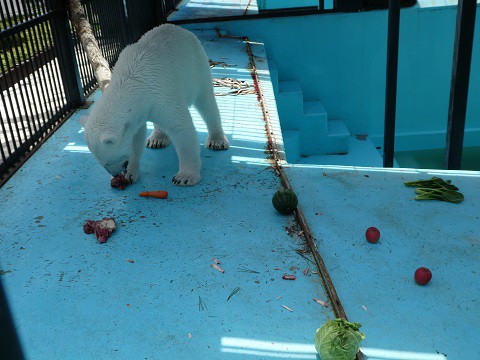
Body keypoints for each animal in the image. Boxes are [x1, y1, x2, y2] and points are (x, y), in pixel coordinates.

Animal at [80, 23, 229, 186]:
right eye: (102, 164)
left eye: (107, 162)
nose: (115, 173)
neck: (131, 81)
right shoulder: (140, 110)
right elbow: (136, 137)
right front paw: (130, 174)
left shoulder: (163, 93)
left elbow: (182, 128)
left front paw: (185, 177)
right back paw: (157, 139)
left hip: (198, 67)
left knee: (207, 103)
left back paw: (217, 140)